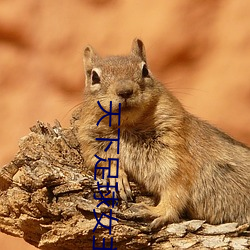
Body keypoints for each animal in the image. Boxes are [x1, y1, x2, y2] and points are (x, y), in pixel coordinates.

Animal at [77, 38, 249, 229]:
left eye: (145, 70)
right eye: (94, 77)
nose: (125, 91)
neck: (127, 126)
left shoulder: (175, 154)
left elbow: (175, 189)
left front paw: (156, 211)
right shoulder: (91, 142)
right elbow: (100, 160)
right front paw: (116, 176)